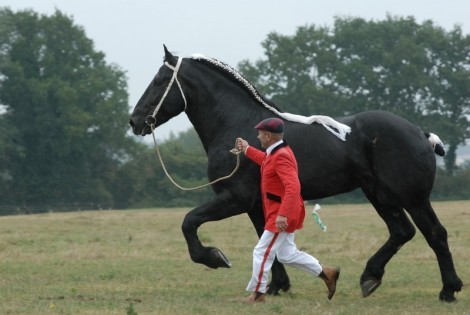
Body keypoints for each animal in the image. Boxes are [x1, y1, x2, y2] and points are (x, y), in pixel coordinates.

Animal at [129, 45, 462, 302]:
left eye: (159, 81)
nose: (135, 121)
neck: (237, 124)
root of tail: (420, 133)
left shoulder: (234, 198)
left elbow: (189, 222)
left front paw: (214, 258)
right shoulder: (255, 204)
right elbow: (267, 242)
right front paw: (277, 285)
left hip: (411, 197)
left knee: (435, 234)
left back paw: (448, 290)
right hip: (379, 195)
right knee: (401, 231)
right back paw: (370, 276)